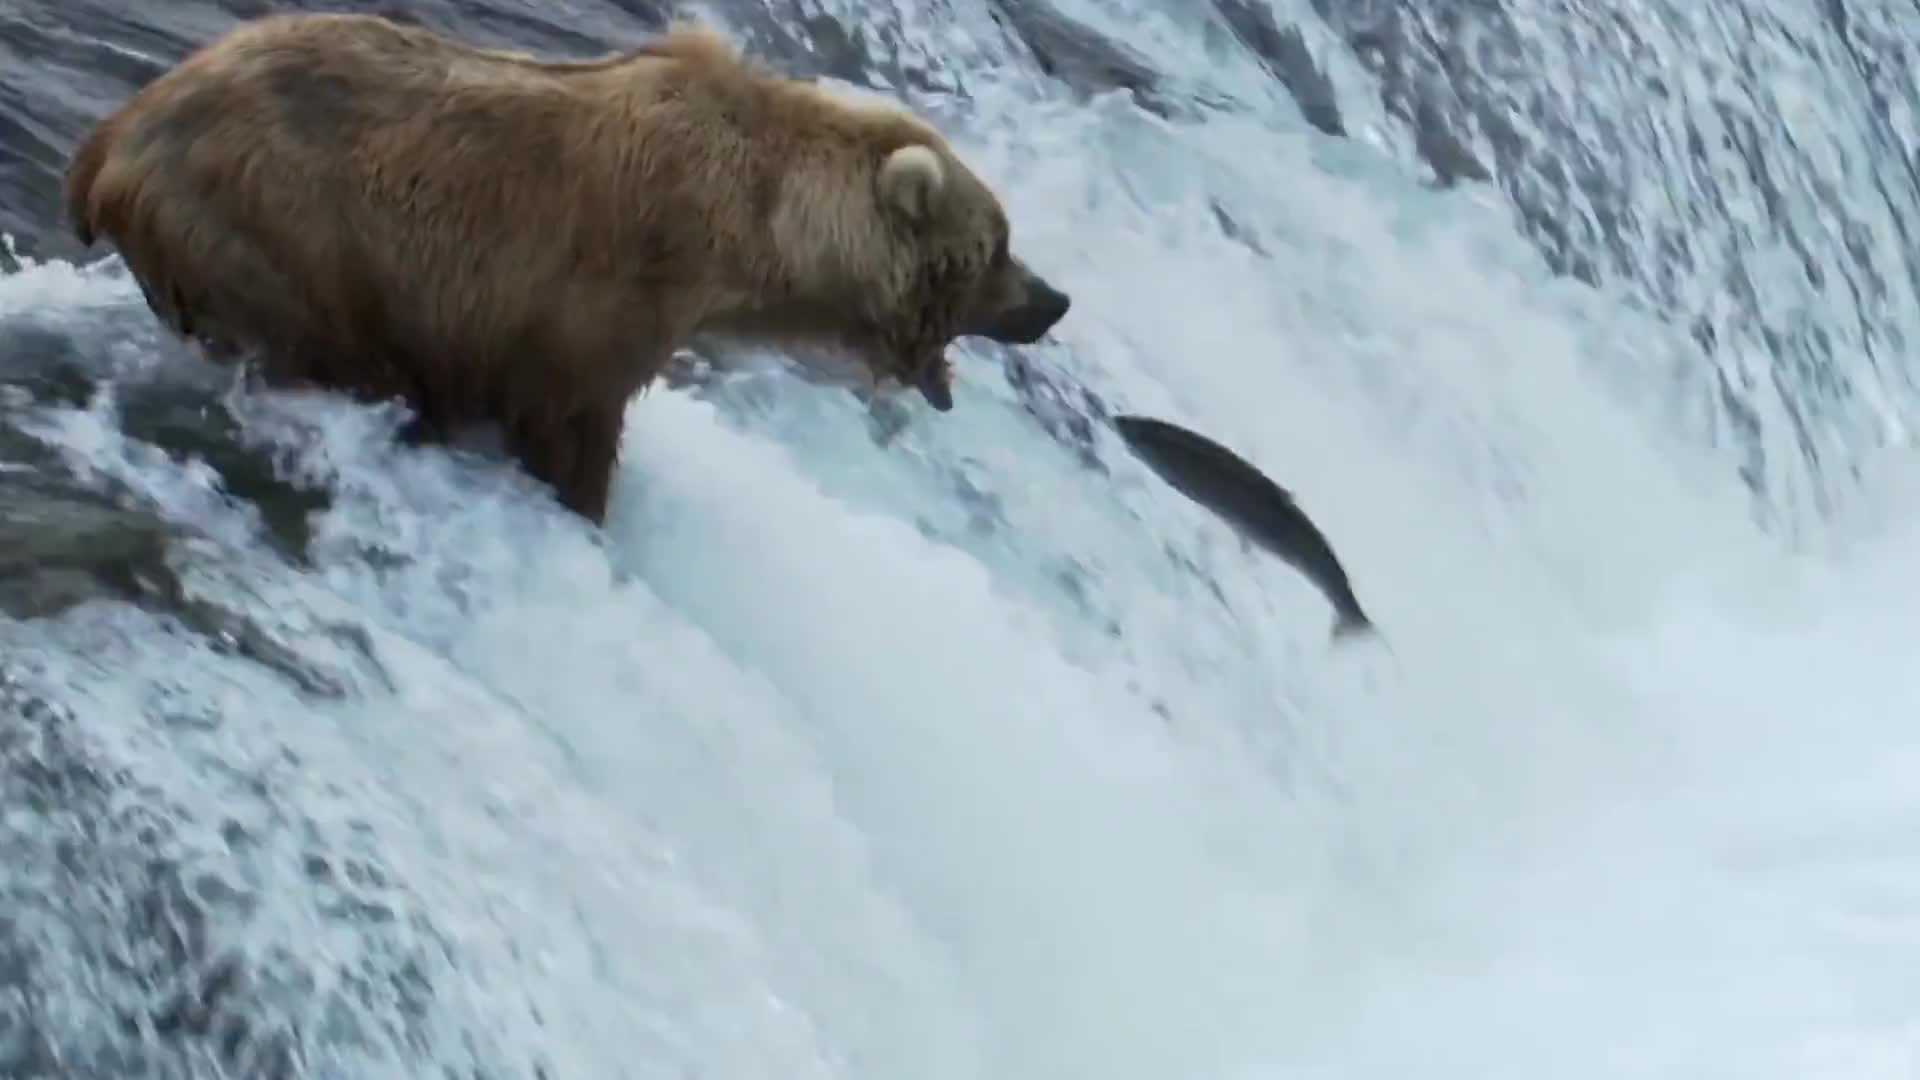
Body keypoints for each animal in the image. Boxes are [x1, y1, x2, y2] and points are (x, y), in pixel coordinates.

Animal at [61, 12, 1071, 524]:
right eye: (996, 246)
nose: (1054, 300)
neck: (758, 230)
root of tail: (114, 136)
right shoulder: (591, 296)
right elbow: (572, 419)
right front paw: (580, 500)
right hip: (277, 229)